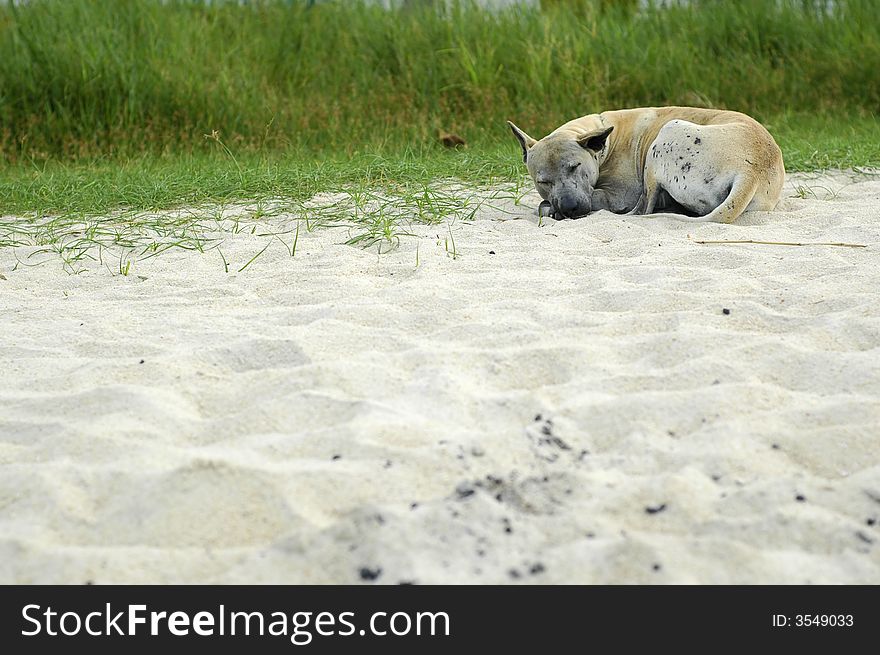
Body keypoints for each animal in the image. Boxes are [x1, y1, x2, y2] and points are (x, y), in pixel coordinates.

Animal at [506, 105, 788, 223]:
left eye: (575, 167)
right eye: (543, 181)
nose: (570, 208)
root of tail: (751, 170)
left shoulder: (618, 195)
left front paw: (551, 209)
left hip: (666, 134)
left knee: (643, 209)